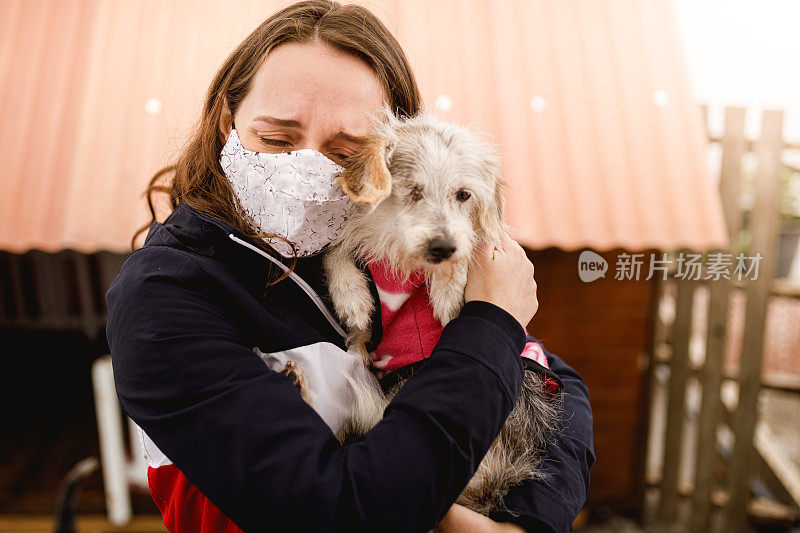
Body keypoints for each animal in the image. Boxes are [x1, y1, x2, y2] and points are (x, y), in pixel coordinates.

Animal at [302, 104, 564, 516]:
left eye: (464, 195)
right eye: (412, 191)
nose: (442, 247)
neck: (401, 255)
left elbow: (472, 244)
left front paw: (447, 290)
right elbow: (336, 251)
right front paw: (353, 299)